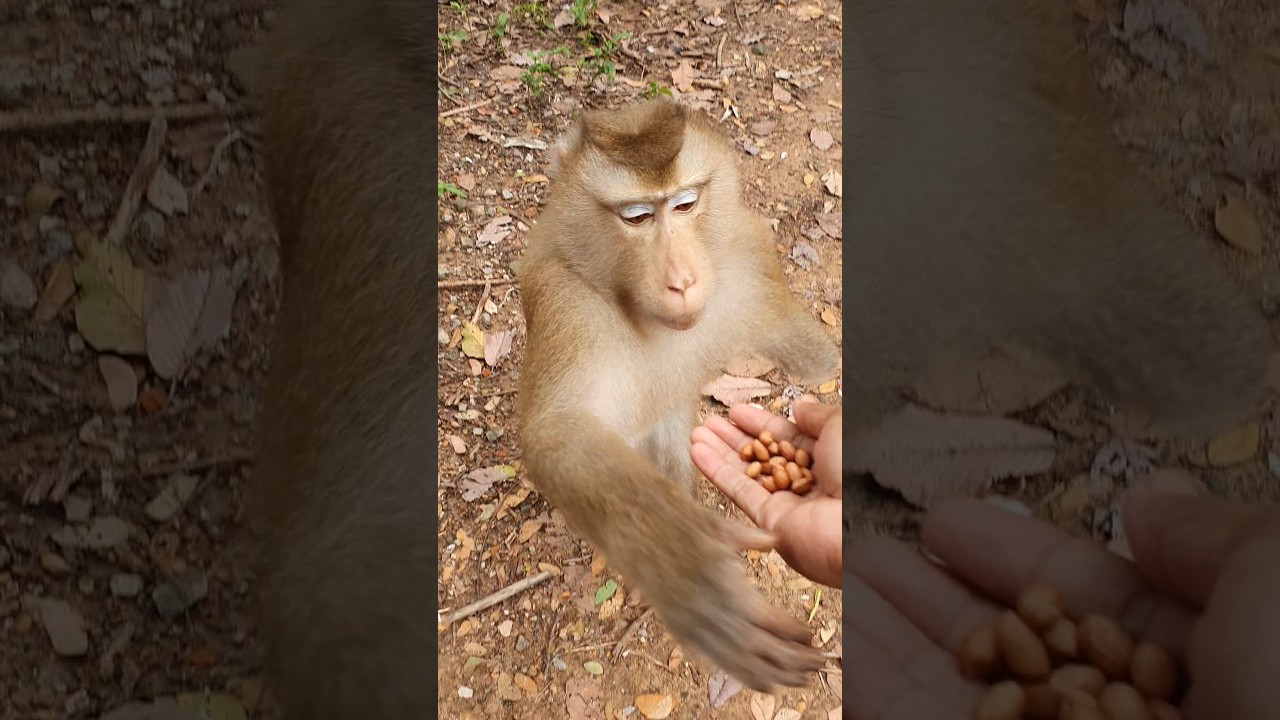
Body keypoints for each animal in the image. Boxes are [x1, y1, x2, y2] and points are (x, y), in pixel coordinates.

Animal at [514, 98, 841, 691]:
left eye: (686, 204)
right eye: (637, 217)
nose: (682, 281)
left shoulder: (749, 250)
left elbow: (820, 361)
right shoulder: (565, 302)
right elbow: (558, 433)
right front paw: (697, 579)